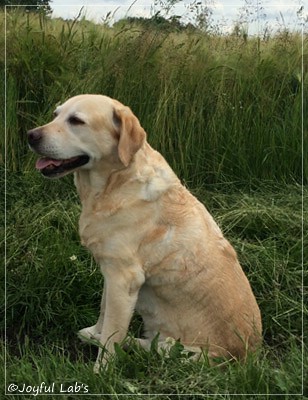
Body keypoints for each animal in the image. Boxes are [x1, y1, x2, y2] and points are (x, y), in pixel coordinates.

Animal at [27, 93, 262, 372]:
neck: (114, 183)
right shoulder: (111, 271)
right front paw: (95, 333)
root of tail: (248, 357)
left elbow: (112, 334)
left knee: (151, 347)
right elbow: (104, 311)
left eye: (76, 121)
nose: (30, 135)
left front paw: (100, 371)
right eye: (55, 115)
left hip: (181, 351)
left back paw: (128, 343)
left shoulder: (124, 278)